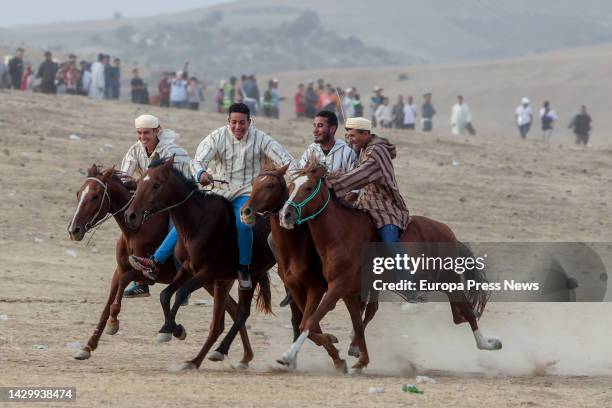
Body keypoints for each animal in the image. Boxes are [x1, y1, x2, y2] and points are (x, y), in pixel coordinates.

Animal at [68, 163, 255, 364]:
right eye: (79, 193)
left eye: (95, 196)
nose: (73, 230)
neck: (137, 230)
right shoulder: (120, 270)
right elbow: (108, 304)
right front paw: (88, 346)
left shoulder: (150, 274)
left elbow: (125, 284)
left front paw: (115, 321)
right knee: (233, 308)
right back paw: (244, 355)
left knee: (233, 309)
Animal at [122, 155, 274, 370]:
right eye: (141, 180)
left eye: (156, 185)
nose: (131, 216)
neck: (198, 223)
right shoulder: (187, 269)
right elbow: (165, 295)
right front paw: (175, 329)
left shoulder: (206, 273)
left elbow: (180, 293)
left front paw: (168, 329)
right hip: (224, 281)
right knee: (221, 323)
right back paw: (202, 360)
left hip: (252, 275)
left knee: (242, 313)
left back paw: (221, 351)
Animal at [238, 163, 378, 372]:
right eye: (254, 183)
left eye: (270, 185)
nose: (246, 212)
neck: (295, 248)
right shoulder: (296, 290)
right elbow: (307, 324)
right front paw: (332, 347)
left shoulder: (316, 288)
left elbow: (308, 323)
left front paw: (336, 356)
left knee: (367, 309)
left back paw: (355, 347)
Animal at [278, 161, 502, 372]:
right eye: (291, 187)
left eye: (308, 187)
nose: (285, 214)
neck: (342, 235)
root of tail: (449, 233)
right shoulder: (349, 292)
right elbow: (355, 324)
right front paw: (360, 359)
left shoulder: (337, 287)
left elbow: (309, 322)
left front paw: (287, 356)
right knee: (458, 315)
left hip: (449, 280)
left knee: (468, 312)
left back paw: (489, 344)